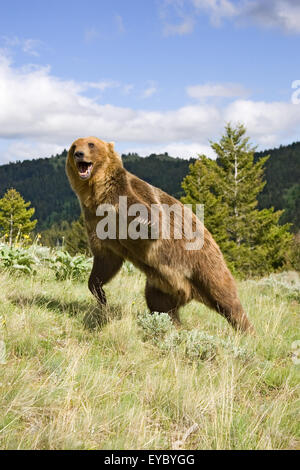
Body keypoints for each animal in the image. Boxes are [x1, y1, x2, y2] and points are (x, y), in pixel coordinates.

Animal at [65, 137, 253, 334]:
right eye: (73, 146)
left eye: (91, 144)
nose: (79, 153)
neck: (98, 194)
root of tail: (191, 291)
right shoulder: (95, 222)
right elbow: (105, 261)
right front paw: (100, 295)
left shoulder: (127, 196)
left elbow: (147, 215)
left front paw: (146, 223)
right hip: (162, 284)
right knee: (159, 304)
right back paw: (173, 325)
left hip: (204, 263)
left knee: (226, 297)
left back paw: (247, 331)